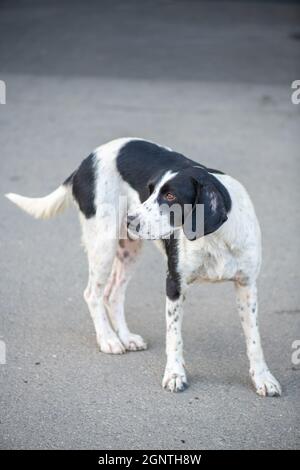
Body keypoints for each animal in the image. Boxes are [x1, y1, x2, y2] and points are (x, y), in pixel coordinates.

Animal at [5, 139, 282, 396]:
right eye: (149, 191)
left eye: (170, 196)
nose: (130, 220)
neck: (215, 238)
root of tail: (86, 161)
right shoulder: (174, 284)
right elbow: (174, 337)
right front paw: (175, 375)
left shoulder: (247, 286)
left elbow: (254, 340)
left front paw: (263, 378)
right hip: (103, 243)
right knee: (92, 293)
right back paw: (108, 339)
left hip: (130, 249)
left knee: (112, 294)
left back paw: (125, 337)